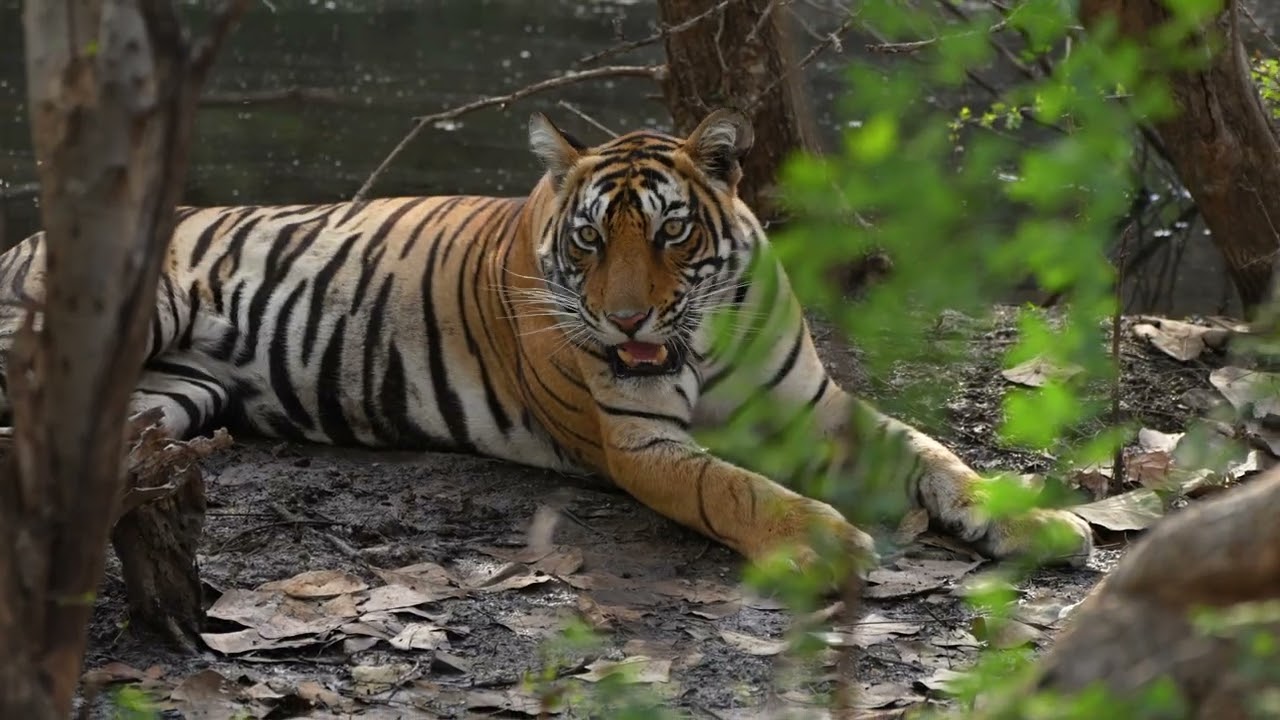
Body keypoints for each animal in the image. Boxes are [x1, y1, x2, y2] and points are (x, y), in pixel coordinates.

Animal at [0, 109, 1093, 572]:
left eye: (669, 233)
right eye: (588, 240)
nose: (626, 320)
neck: (710, 333)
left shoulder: (816, 411)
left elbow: (934, 455)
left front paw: (1042, 523)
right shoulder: (641, 442)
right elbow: (741, 492)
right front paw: (830, 540)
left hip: (171, 396)